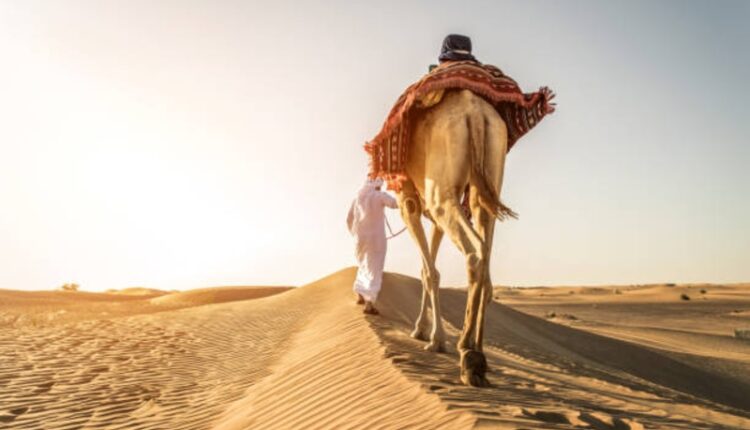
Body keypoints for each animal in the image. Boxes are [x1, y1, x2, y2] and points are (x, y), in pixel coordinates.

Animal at [395, 88, 531, 387]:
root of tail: (475, 114)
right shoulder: (434, 213)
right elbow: (429, 268)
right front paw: (425, 331)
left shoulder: (408, 200)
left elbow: (429, 272)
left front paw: (432, 338)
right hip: (487, 179)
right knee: (486, 255)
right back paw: (479, 354)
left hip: (441, 194)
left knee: (476, 253)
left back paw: (468, 353)